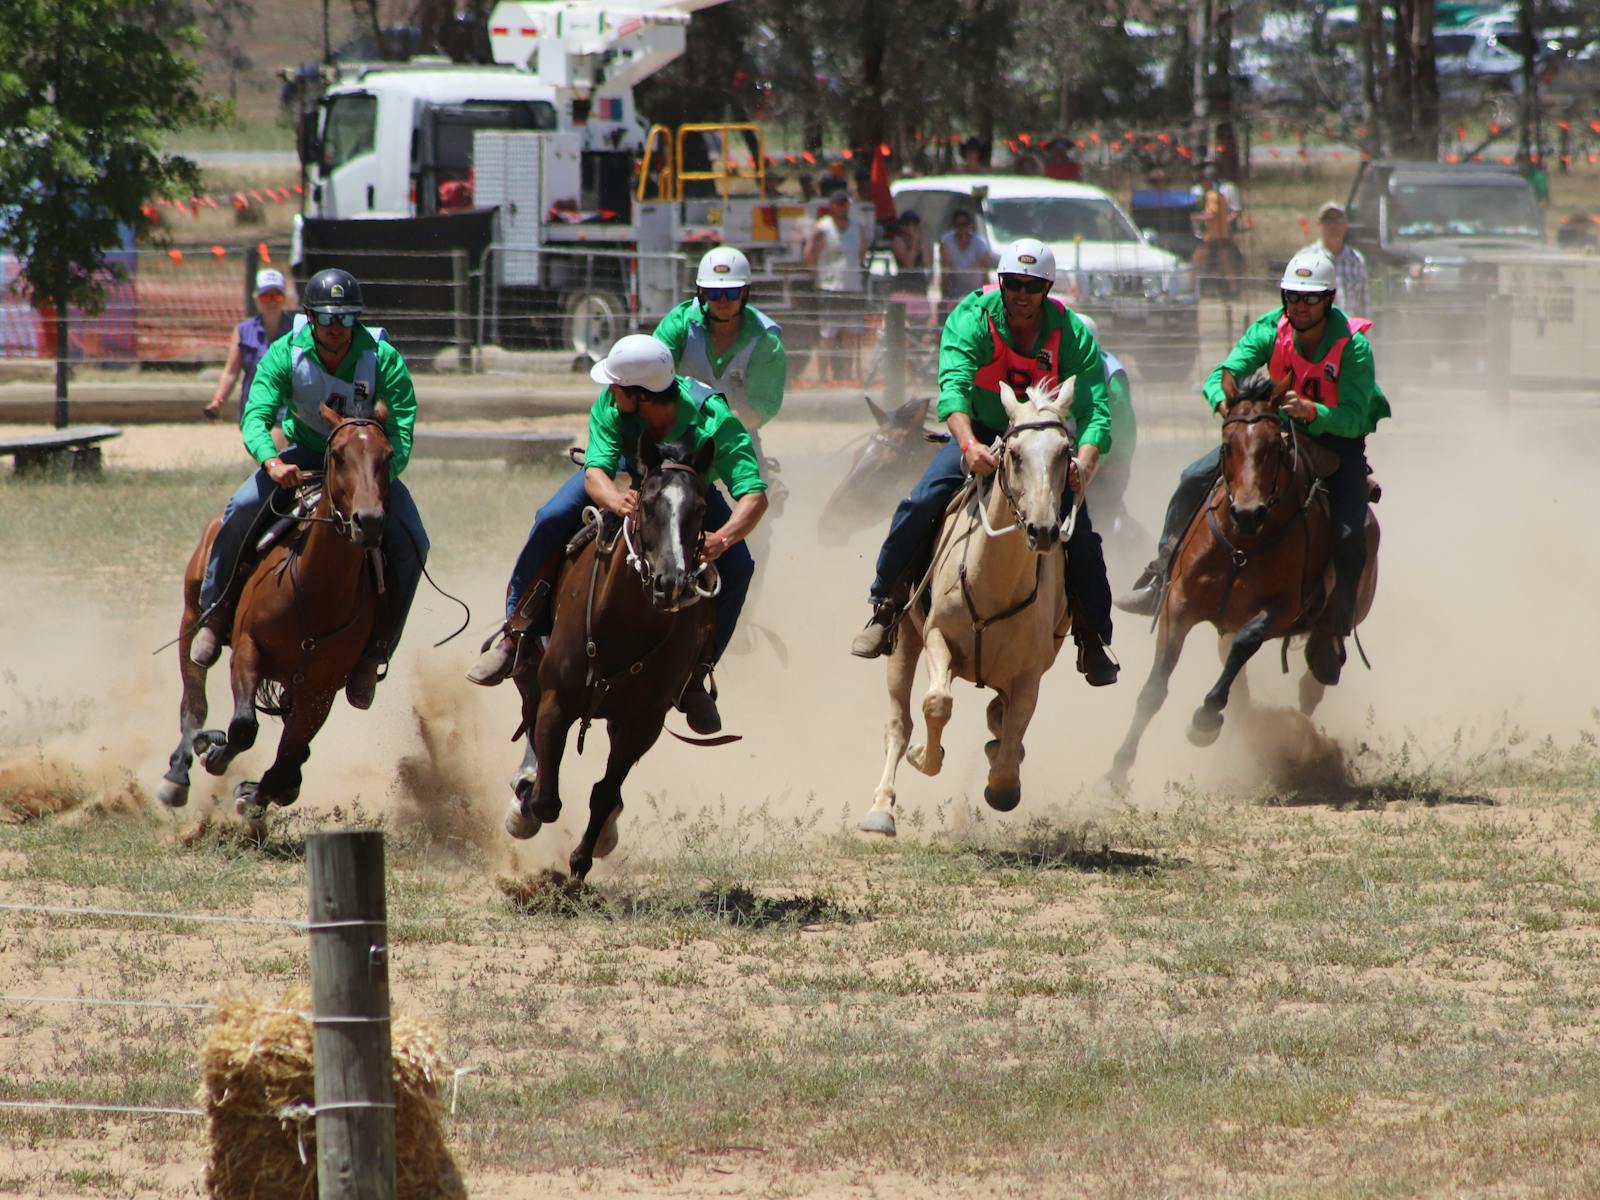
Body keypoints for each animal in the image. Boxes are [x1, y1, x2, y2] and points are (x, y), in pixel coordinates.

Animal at [156, 400, 393, 825]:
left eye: (389, 455)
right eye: (339, 454)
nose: (368, 521)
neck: (316, 593)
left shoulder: (319, 690)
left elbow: (288, 756)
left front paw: (255, 793)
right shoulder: (249, 649)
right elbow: (244, 727)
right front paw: (215, 752)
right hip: (191, 615)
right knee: (194, 701)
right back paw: (178, 774)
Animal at [505, 435, 720, 883]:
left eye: (701, 508)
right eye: (648, 504)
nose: (671, 582)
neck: (622, 624)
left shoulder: (644, 722)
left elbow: (604, 793)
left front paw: (580, 863)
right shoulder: (556, 699)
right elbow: (546, 798)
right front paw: (526, 801)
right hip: (530, 671)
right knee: (529, 721)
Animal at [864, 380, 1075, 838]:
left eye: (1064, 452)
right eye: (1014, 454)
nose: (1044, 530)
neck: (993, 580)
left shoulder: (1030, 673)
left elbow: (1014, 732)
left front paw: (1003, 784)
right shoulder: (937, 638)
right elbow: (936, 704)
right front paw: (925, 755)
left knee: (1000, 718)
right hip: (903, 641)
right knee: (897, 723)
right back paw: (880, 808)